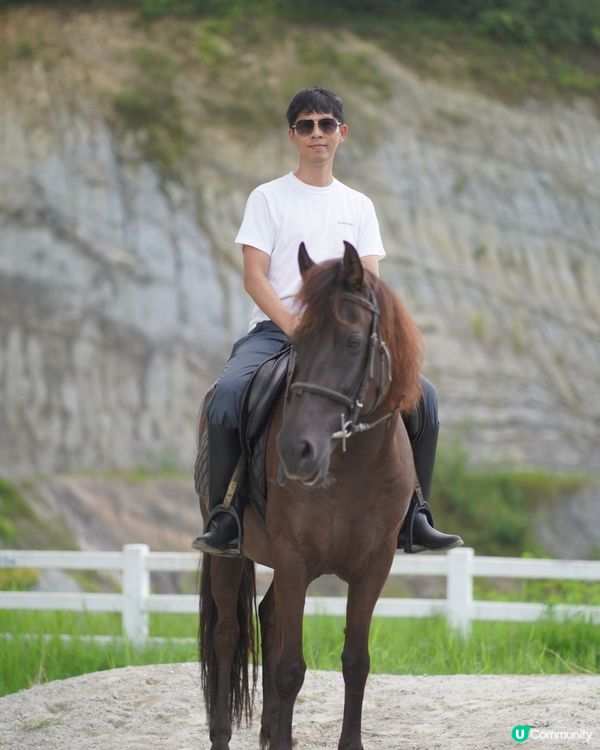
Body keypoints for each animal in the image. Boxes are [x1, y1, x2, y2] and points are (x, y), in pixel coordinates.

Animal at [197, 241, 424, 750]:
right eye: (298, 344)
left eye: (354, 342)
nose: (295, 451)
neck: (353, 467)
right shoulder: (294, 557)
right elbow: (288, 668)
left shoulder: (376, 564)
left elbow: (355, 661)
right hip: (231, 555)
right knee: (227, 634)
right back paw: (223, 735)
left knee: (267, 616)